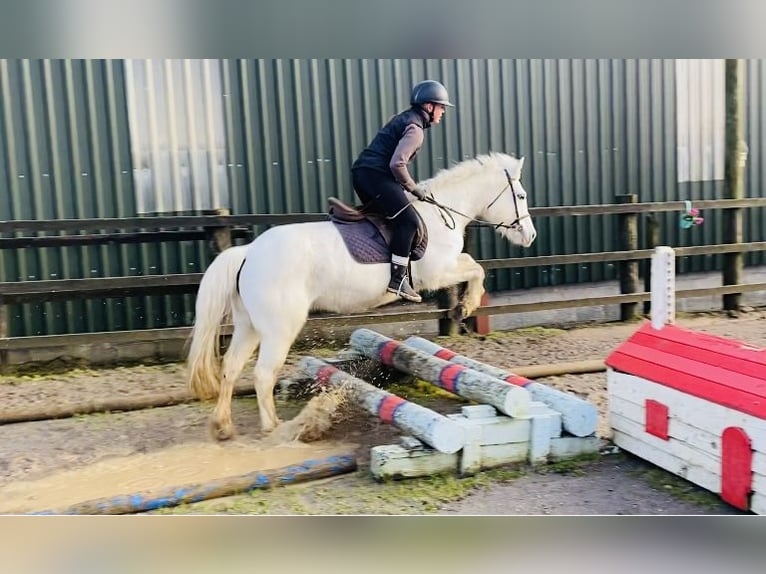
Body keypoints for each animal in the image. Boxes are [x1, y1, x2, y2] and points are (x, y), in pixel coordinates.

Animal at [187, 153, 536, 440]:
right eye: (521, 196)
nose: (530, 236)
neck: (440, 215)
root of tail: (248, 252)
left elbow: (473, 265)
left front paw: (465, 306)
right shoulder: (437, 274)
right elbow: (476, 269)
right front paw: (466, 306)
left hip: (249, 325)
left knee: (231, 368)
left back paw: (223, 426)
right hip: (278, 329)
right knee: (262, 375)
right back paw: (277, 428)